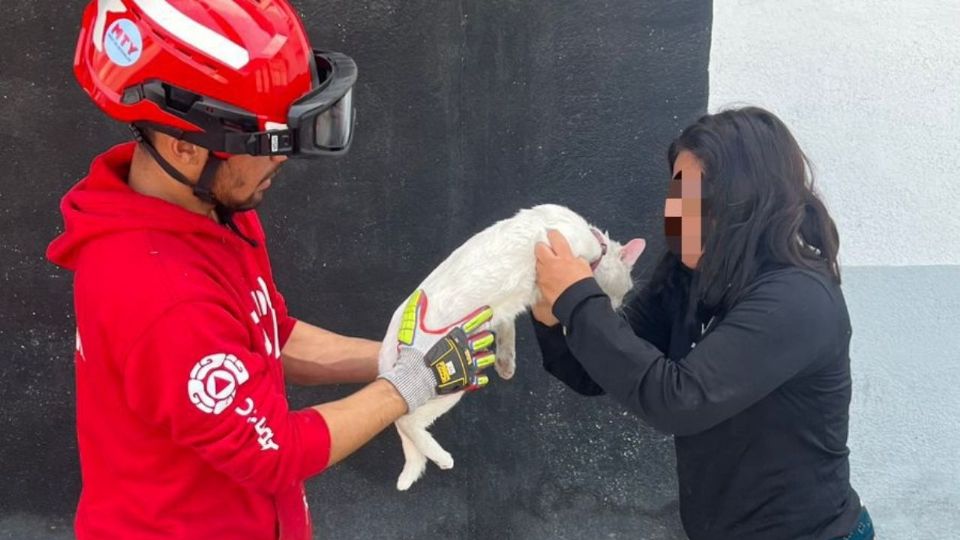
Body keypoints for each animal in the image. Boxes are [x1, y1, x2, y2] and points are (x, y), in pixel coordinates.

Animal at [378, 202, 640, 490]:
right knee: (407, 420)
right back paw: (441, 457)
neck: (592, 242)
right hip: (448, 386)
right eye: (627, 288)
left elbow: (507, 326)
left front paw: (506, 362)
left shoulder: (506, 309)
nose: (616, 308)